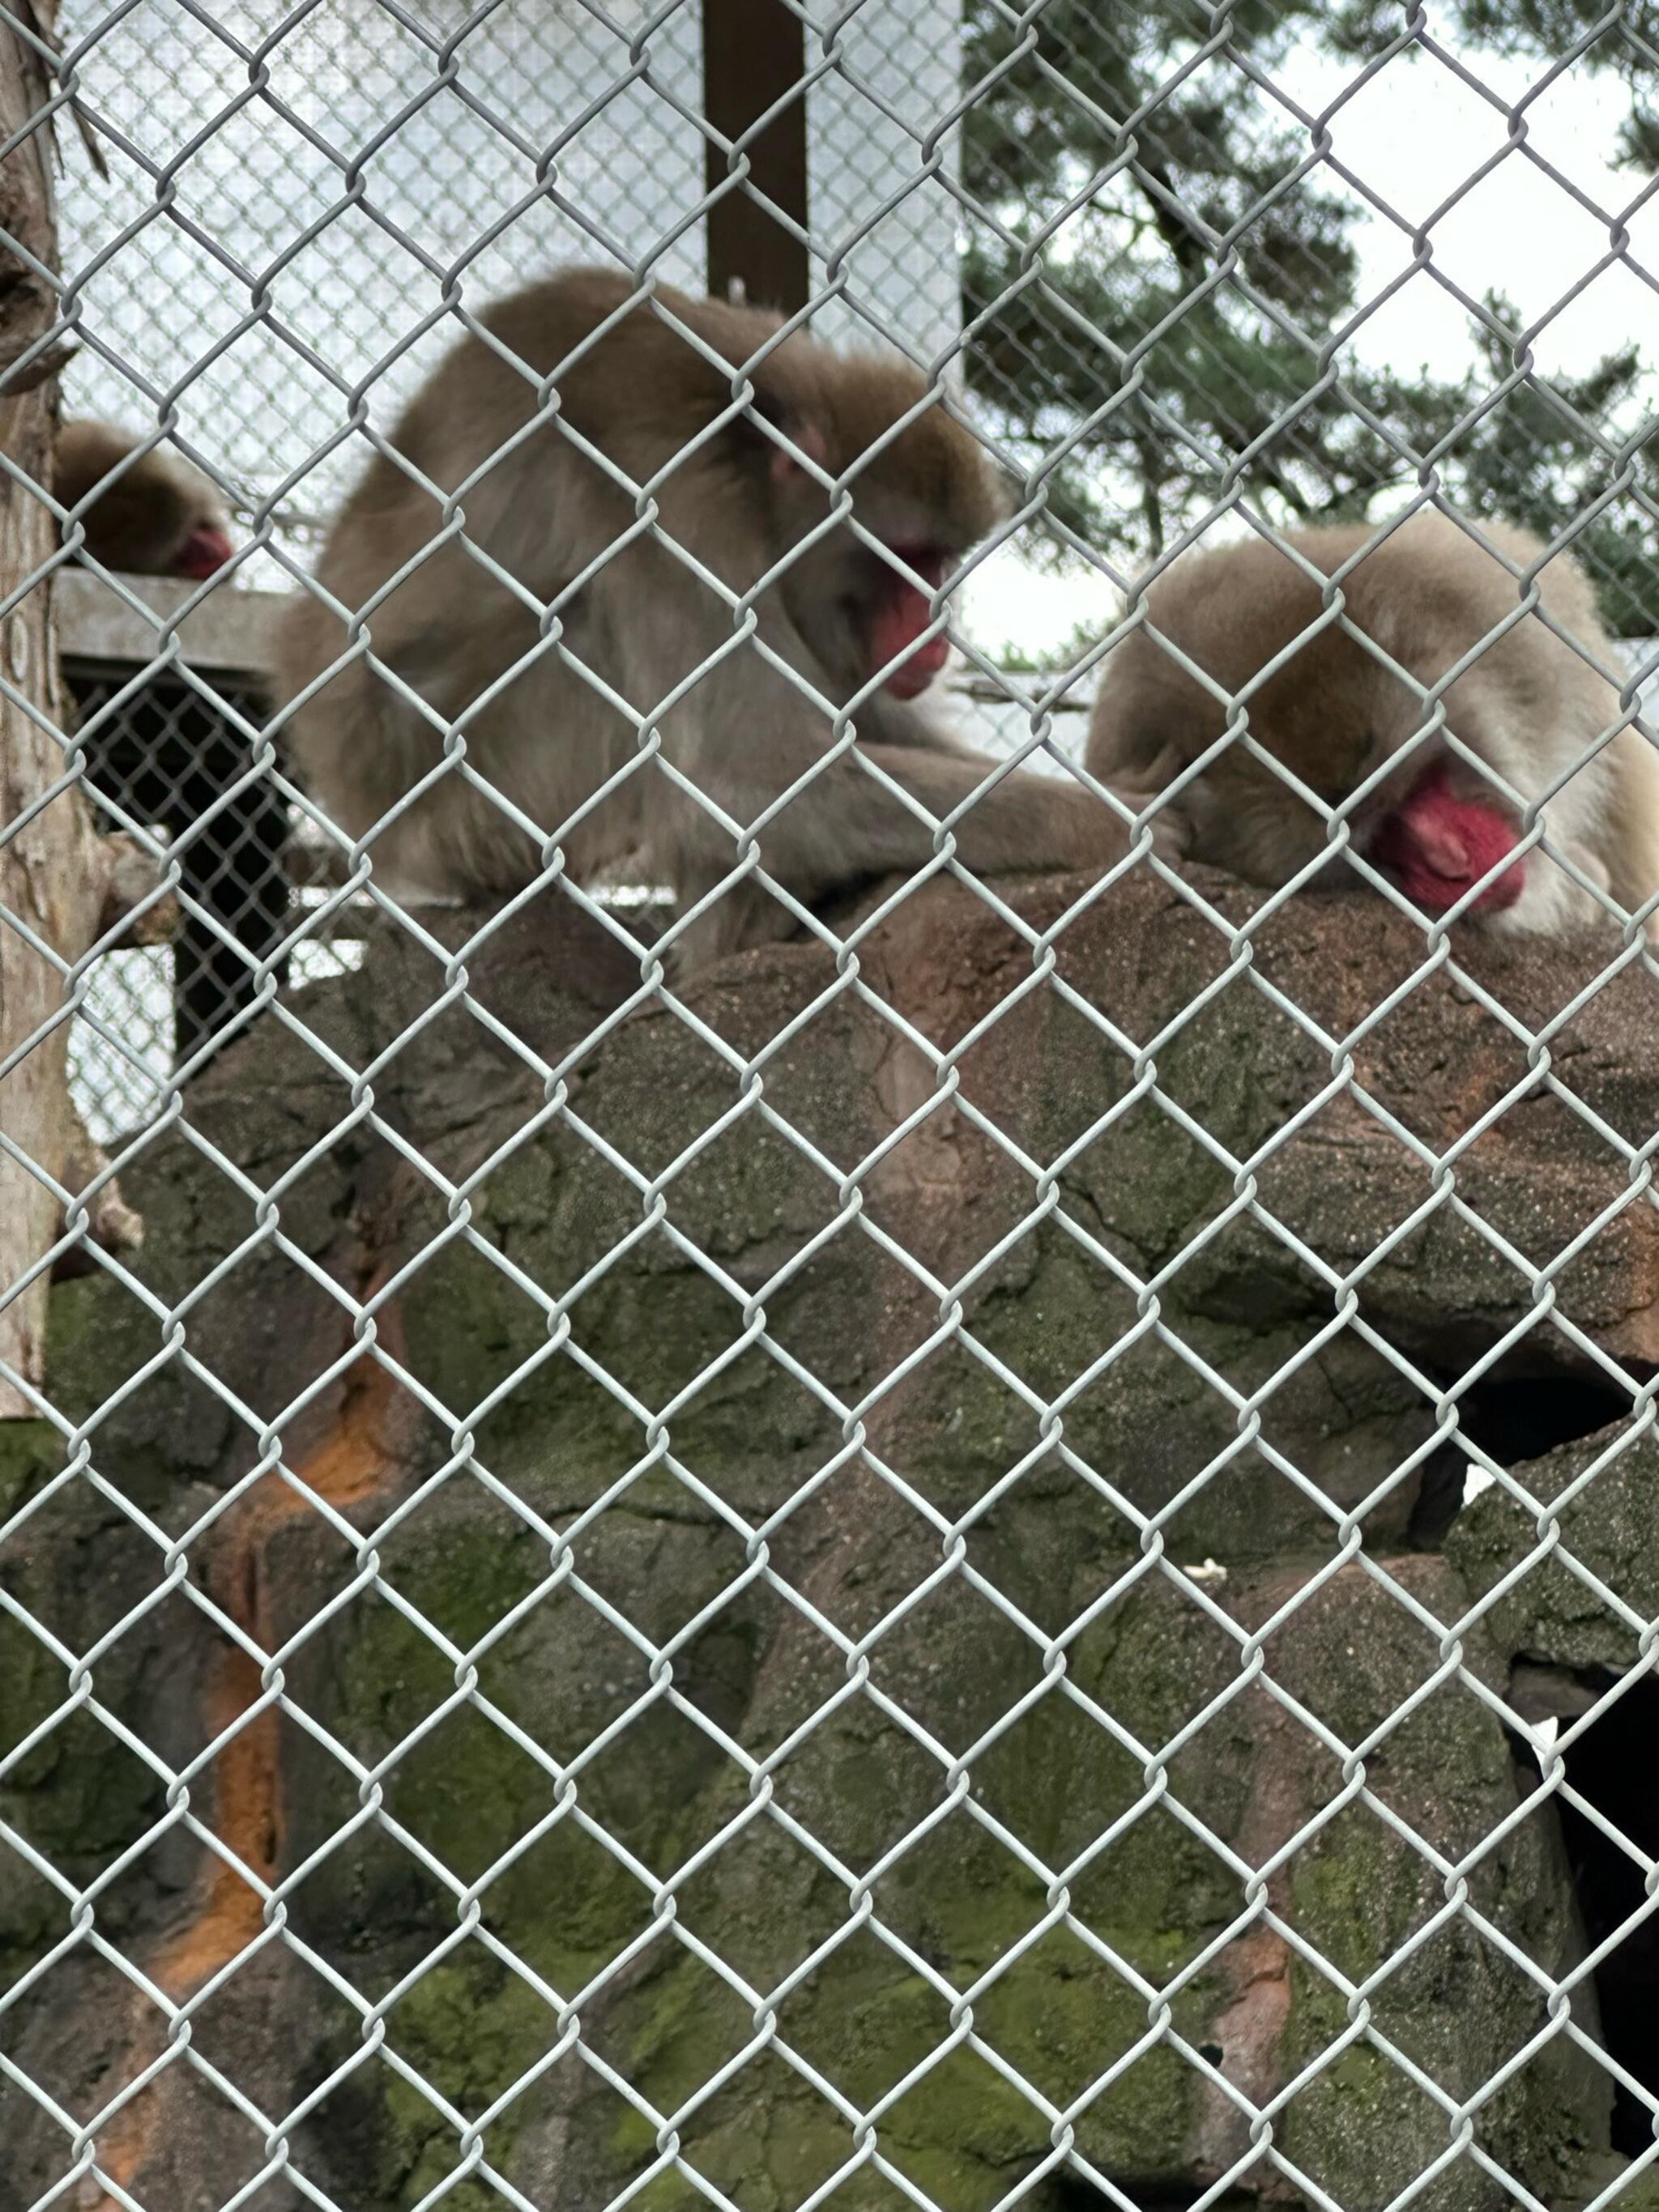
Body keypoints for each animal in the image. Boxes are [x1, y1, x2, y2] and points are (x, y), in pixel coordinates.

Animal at [276, 261, 1185, 969]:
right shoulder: (670, 492)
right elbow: (751, 772)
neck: (751, 437)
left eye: (939, 564)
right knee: (599, 642)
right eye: (904, 560)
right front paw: (1113, 824)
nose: (933, 638)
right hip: (468, 806)